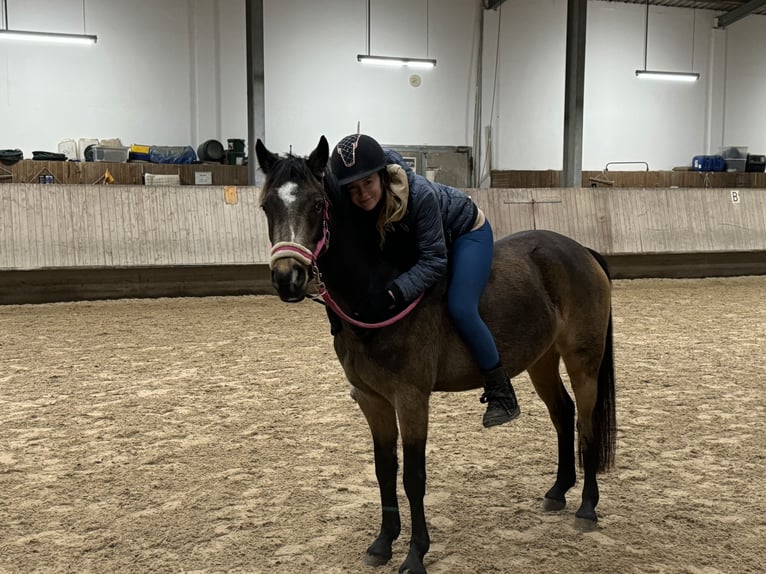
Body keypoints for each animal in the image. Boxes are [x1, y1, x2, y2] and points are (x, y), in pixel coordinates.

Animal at [256, 136, 616, 574]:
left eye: (317, 204)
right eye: (267, 206)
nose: (287, 278)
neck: (380, 292)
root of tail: (581, 251)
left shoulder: (411, 400)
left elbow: (413, 476)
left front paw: (415, 553)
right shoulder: (373, 401)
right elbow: (384, 470)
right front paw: (383, 543)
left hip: (584, 361)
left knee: (586, 421)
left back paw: (586, 507)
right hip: (542, 360)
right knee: (563, 414)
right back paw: (558, 491)